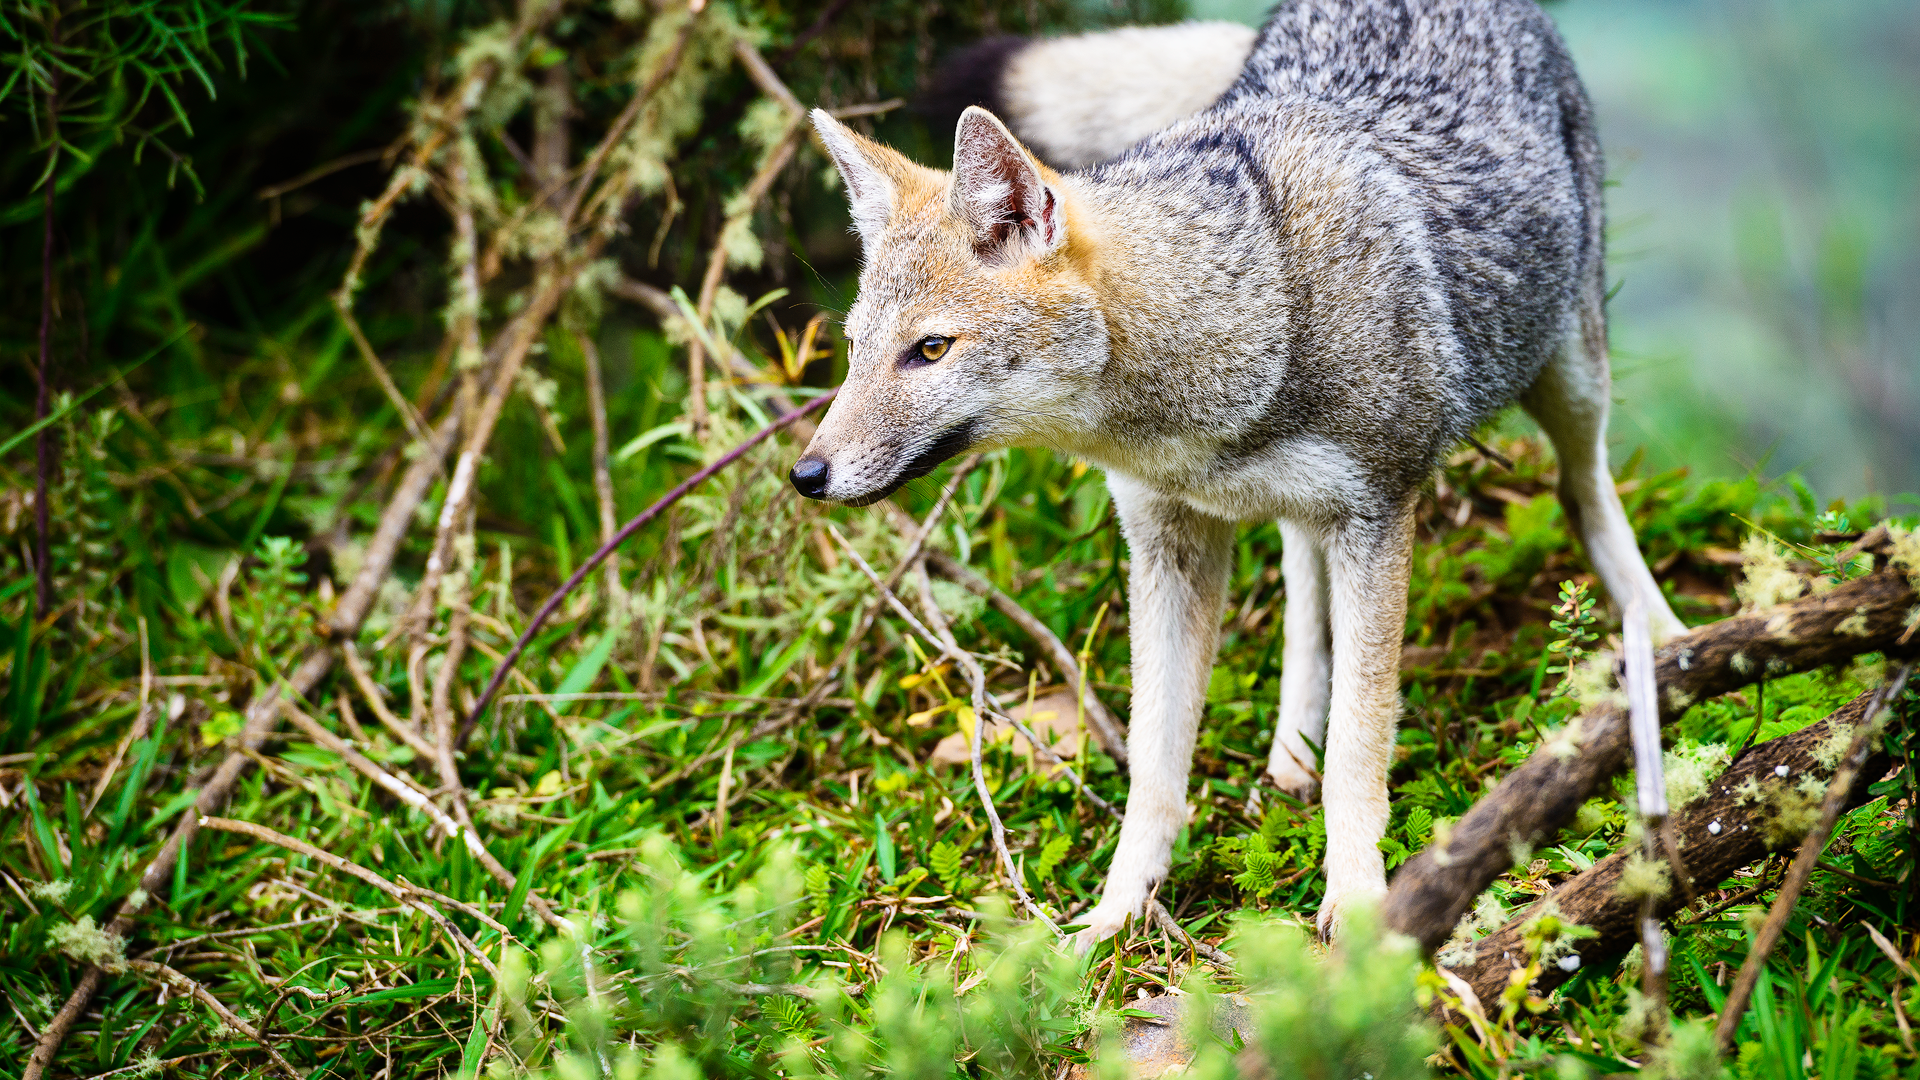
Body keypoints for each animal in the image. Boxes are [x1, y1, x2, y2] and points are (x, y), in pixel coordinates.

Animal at [787, 0, 1689, 941]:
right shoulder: (1167, 542)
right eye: (853, 351)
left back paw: (1670, 647)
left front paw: (1358, 904)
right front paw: (1113, 917)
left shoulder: (1379, 513)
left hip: (1571, 381)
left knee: (1583, 496)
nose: (806, 474)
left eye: (929, 350)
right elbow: (1153, 769)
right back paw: (1292, 745)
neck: (1253, 319)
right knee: (1301, 578)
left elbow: (1360, 749)